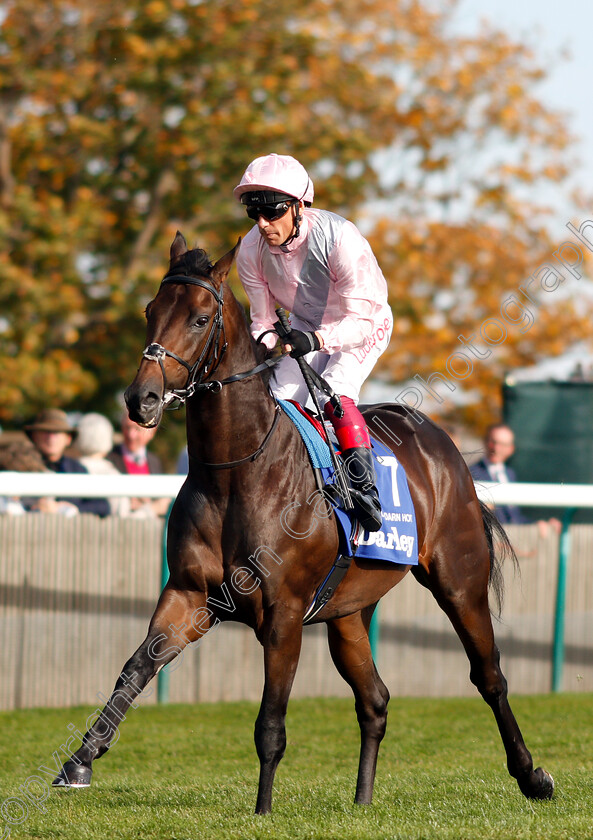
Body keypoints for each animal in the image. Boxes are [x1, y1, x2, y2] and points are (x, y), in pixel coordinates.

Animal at [53, 233, 552, 812]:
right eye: (150, 312)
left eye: (200, 318)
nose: (142, 398)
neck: (236, 473)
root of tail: (439, 441)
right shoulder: (188, 595)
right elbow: (134, 668)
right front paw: (80, 760)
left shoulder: (284, 613)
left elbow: (270, 723)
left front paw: (263, 809)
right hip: (349, 610)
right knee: (375, 699)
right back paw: (362, 800)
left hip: (459, 581)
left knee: (489, 677)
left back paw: (532, 776)